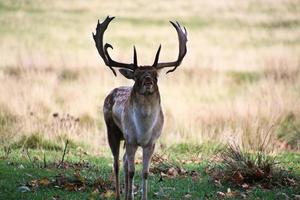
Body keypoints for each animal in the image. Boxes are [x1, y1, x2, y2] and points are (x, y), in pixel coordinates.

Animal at [92, 16, 188, 200]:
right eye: (136, 76)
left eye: (156, 75)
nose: (148, 81)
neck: (143, 129)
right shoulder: (131, 139)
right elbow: (131, 171)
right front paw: (128, 195)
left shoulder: (151, 142)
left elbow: (145, 172)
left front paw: (141, 196)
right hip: (112, 131)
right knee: (116, 164)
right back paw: (119, 195)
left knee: (123, 161)